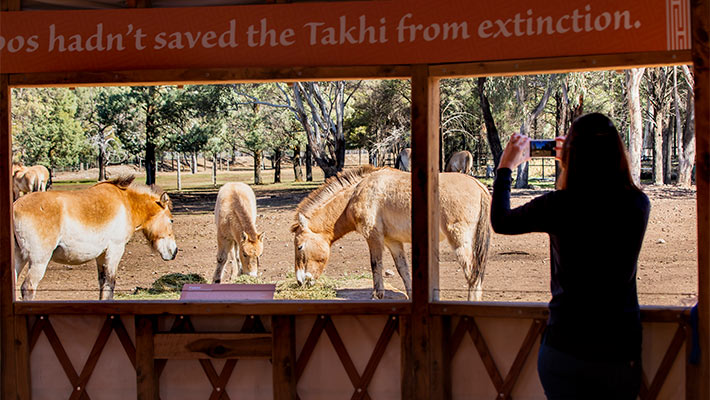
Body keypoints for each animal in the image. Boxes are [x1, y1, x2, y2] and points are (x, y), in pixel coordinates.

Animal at [13, 175, 178, 300]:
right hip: (39, 261)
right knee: (28, 287)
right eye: (171, 220)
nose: (174, 251)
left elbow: (103, 283)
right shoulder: (115, 250)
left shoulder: (101, 255)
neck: (126, 203)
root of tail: (14, 208)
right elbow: (110, 284)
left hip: (19, 259)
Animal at [292, 165, 492, 300]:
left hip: (459, 242)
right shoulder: (393, 242)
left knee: (472, 274)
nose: (300, 281)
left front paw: (377, 295)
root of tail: (479, 186)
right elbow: (403, 270)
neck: (355, 194)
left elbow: (375, 265)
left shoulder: (373, 238)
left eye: (300, 246)